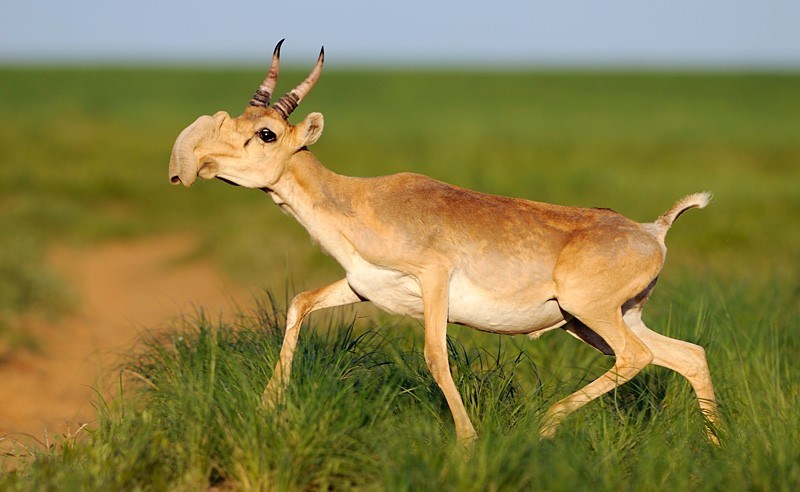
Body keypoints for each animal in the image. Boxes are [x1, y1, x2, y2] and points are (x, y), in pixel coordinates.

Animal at [167, 40, 720, 444]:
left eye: (266, 133)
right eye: (236, 120)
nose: (197, 163)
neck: (361, 200)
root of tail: (652, 231)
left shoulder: (433, 280)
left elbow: (435, 354)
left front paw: (468, 442)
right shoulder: (362, 287)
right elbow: (299, 302)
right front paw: (268, 407)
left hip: (591, 314)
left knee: (638, 358)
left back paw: (545, 425)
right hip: (601, 320)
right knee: (688, 355)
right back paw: (715, 448)